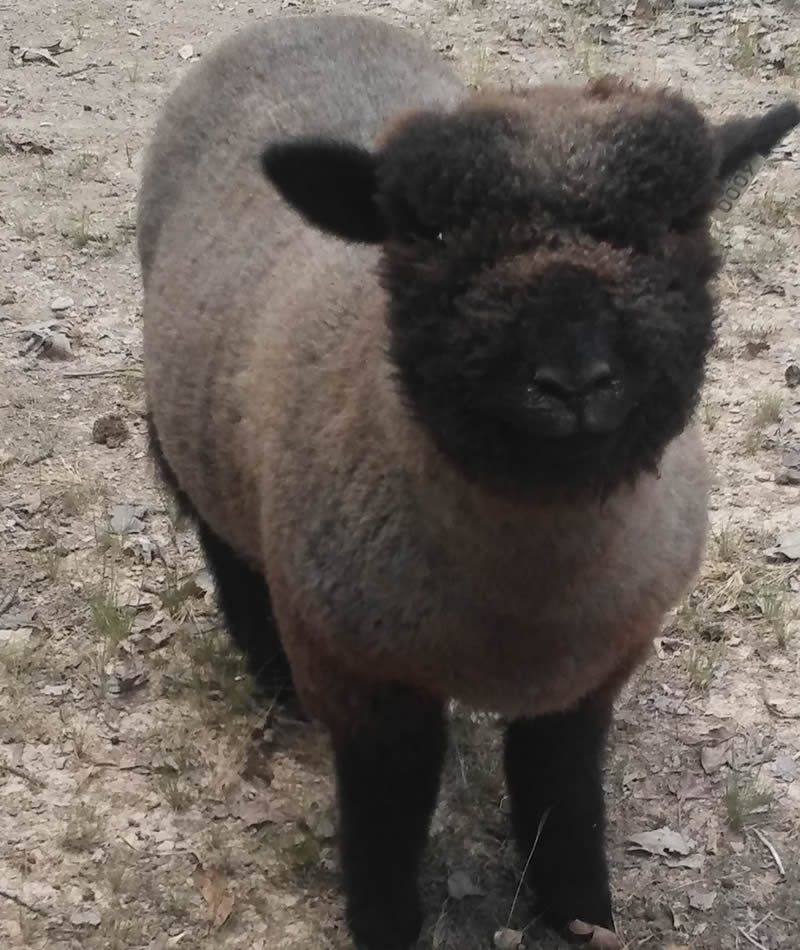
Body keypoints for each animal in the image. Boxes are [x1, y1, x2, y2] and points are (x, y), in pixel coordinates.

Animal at [139, 13, 800, 950]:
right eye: (435, 237)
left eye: (676, 223)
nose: (573, 377)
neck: (526, 605)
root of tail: (298, 18)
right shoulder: (358, 677)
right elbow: (386, 817)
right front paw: (385, 927)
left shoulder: (593, 674)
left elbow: (562, 795)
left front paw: (581, 918)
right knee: (223, 543)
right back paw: (268, 676)